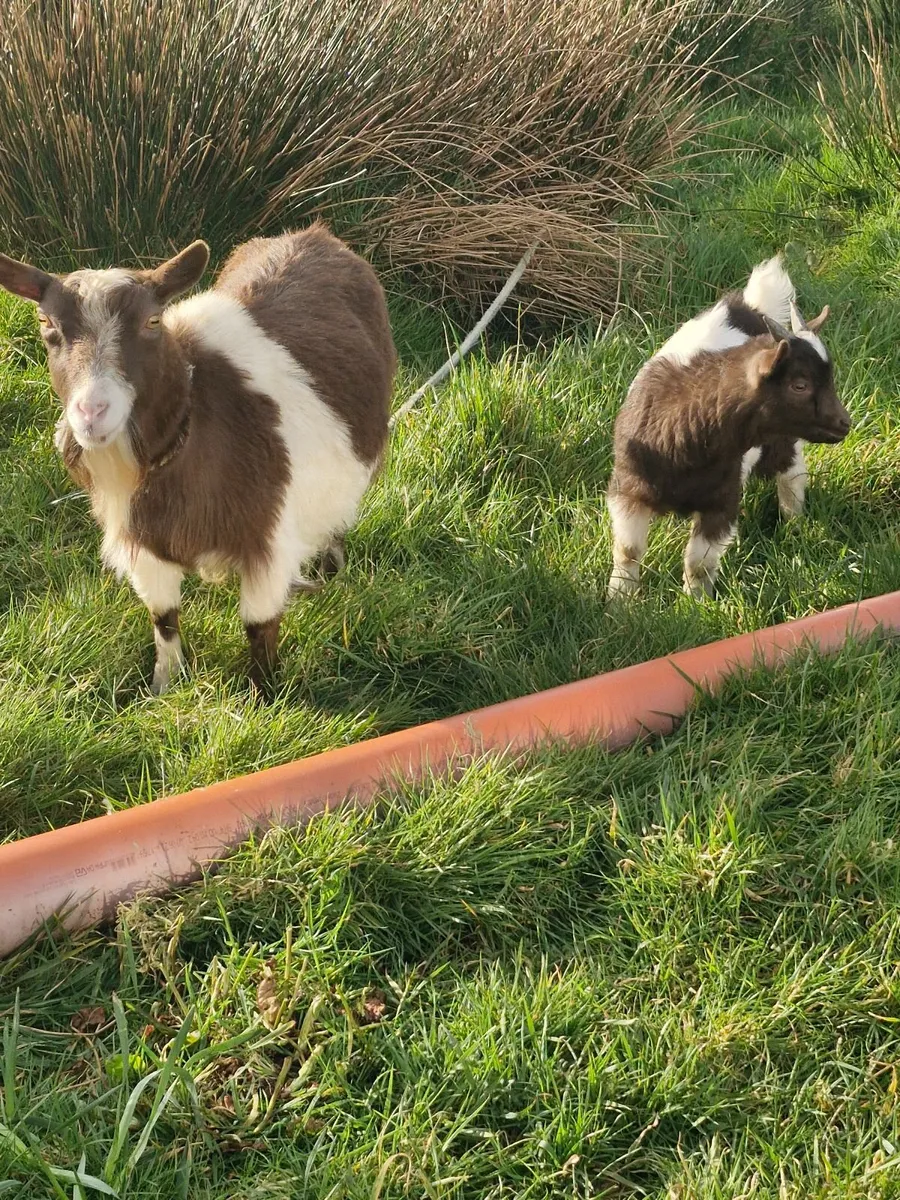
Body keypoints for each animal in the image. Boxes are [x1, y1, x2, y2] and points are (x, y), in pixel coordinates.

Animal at [0, 223, 397, 691]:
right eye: (46, 322)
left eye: (153, 320)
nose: (92, 412)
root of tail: (315, 234)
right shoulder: (145, 544)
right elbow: (164, 618)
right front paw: (165, 685)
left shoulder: (267, 538)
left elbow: (260, 628)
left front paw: (264, 695)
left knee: (338, 517)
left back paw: (329, 575)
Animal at [606, 255, 851, 601]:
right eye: (800, 385)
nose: (845, 423)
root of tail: (748, 306)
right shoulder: (629, 490)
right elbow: (628, 551)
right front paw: (619, 602)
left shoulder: (721, 500)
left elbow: (698, 563)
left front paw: (694, 605)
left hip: (783, 443)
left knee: (792, 474)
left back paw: (794, 527)